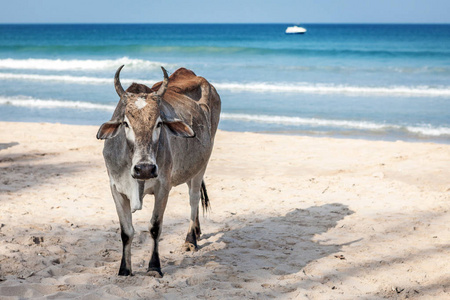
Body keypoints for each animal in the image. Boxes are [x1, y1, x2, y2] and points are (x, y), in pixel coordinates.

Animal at [97, 65, 221, 276]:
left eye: (159, 123)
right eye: (126, 123)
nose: (144, 169)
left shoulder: (163, 187)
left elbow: (155, 227)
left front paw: (154, 266)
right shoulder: (116, 189)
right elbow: (126, 232)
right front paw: (124, 269)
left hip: (202, 165)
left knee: (193, 198)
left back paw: (191, 239)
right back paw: (196, 232)